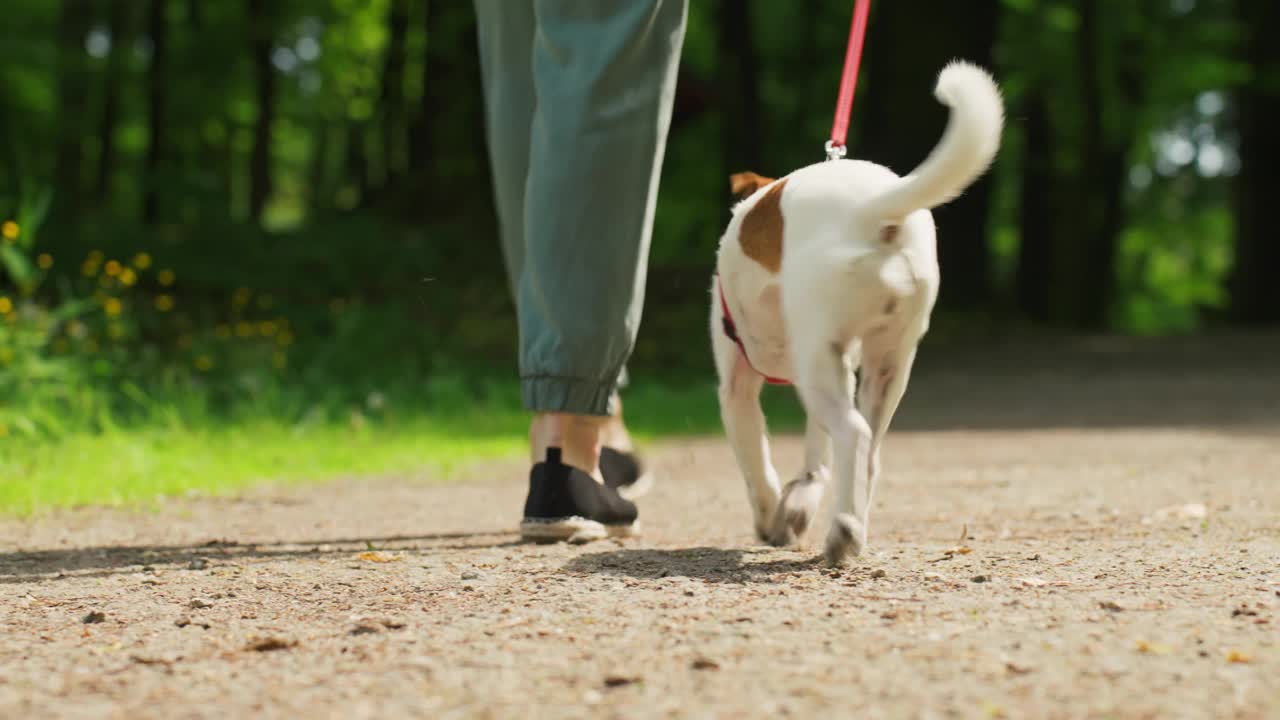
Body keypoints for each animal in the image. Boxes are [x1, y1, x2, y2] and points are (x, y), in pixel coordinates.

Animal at [711, 61, 998, 563]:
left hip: (817, 363)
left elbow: (756, 465)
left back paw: (843, 533)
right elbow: (815, 460)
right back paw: (850, 525)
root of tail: (870, 210)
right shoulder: (841, 366)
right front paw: (799, 503)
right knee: (869, 451)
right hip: (887, 364)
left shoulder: (738, 386)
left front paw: (772, 521)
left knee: (853, 434)